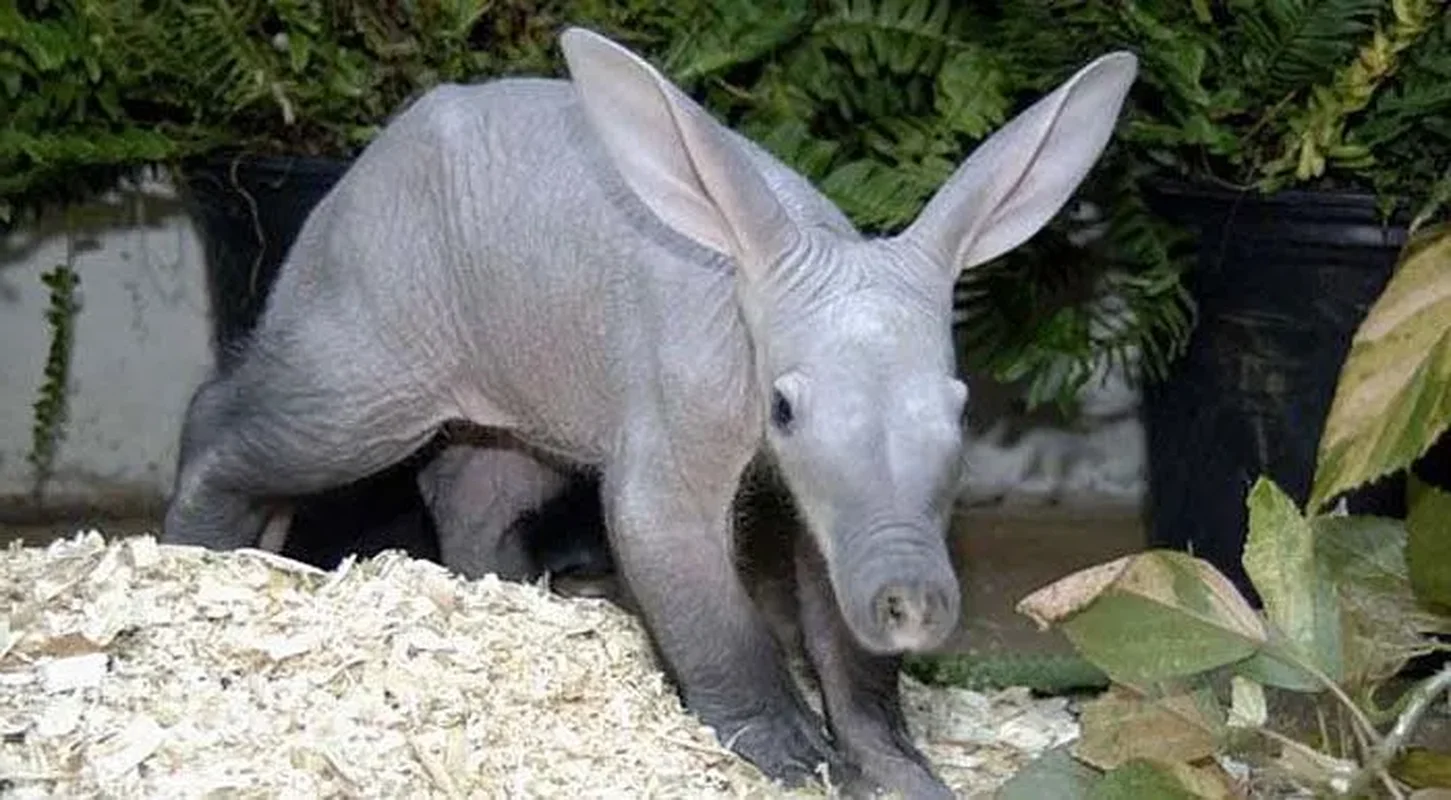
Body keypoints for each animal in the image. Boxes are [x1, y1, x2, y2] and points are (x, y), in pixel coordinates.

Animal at [160, 27, 1137, 797]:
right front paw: (790, 756)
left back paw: (509, 602)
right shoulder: (686, 397)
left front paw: (897, 770)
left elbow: (835, 613)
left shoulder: (858, 510)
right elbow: (681, 565)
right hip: (370, 349)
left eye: (958, 410)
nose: (912, 604)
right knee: (235, 419)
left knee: (474, 490)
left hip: (520, 399)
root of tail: (361, 168)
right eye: (782, 408)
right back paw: (197, 553)